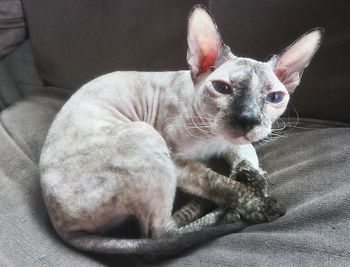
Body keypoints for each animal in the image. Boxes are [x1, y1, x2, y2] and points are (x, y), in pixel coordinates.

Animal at [39, 5, 322, 258]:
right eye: (221, 88)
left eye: (275, 98)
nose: (248, 119)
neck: (213, 138)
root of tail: (60, 225)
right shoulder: (178, 161)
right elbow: (221, 183)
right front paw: (257, 203)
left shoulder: (236, 141)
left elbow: (248, 164)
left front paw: (254, 181)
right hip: (146, 136)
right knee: (160, 236)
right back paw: (222, 212)